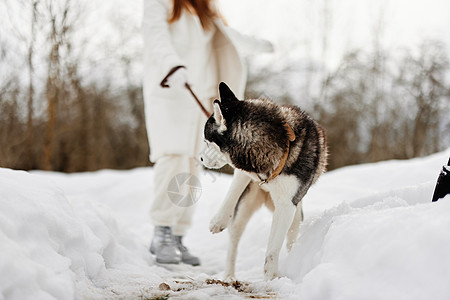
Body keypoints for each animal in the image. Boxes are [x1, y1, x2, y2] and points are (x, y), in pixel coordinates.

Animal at [200, 82, 326, 282]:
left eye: (206, 141)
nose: (201, 159)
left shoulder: (286, 205)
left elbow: (273, 249)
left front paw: (271, 278)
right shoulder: (244, 170)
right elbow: (232, 192)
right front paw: (218, 220)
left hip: (295, 214)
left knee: (290, 237)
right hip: (245, 208)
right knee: (234, 236)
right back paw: (229, 275)